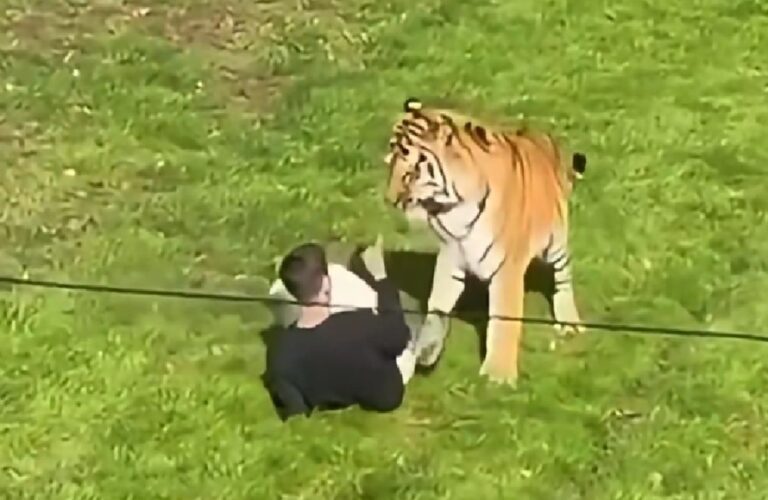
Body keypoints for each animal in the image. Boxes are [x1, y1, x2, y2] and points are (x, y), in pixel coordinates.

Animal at [382, 97, 588, 386]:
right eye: (390, 165)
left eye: (411, 172)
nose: (390, 200)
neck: (452, 208)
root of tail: (544, 138)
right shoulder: (450, 257)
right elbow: (436, 307)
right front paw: (427, 351)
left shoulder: (507, 268)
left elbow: (503, 321)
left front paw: (498, 375)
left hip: (554, 243)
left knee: (563, 277)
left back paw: (569, 323)